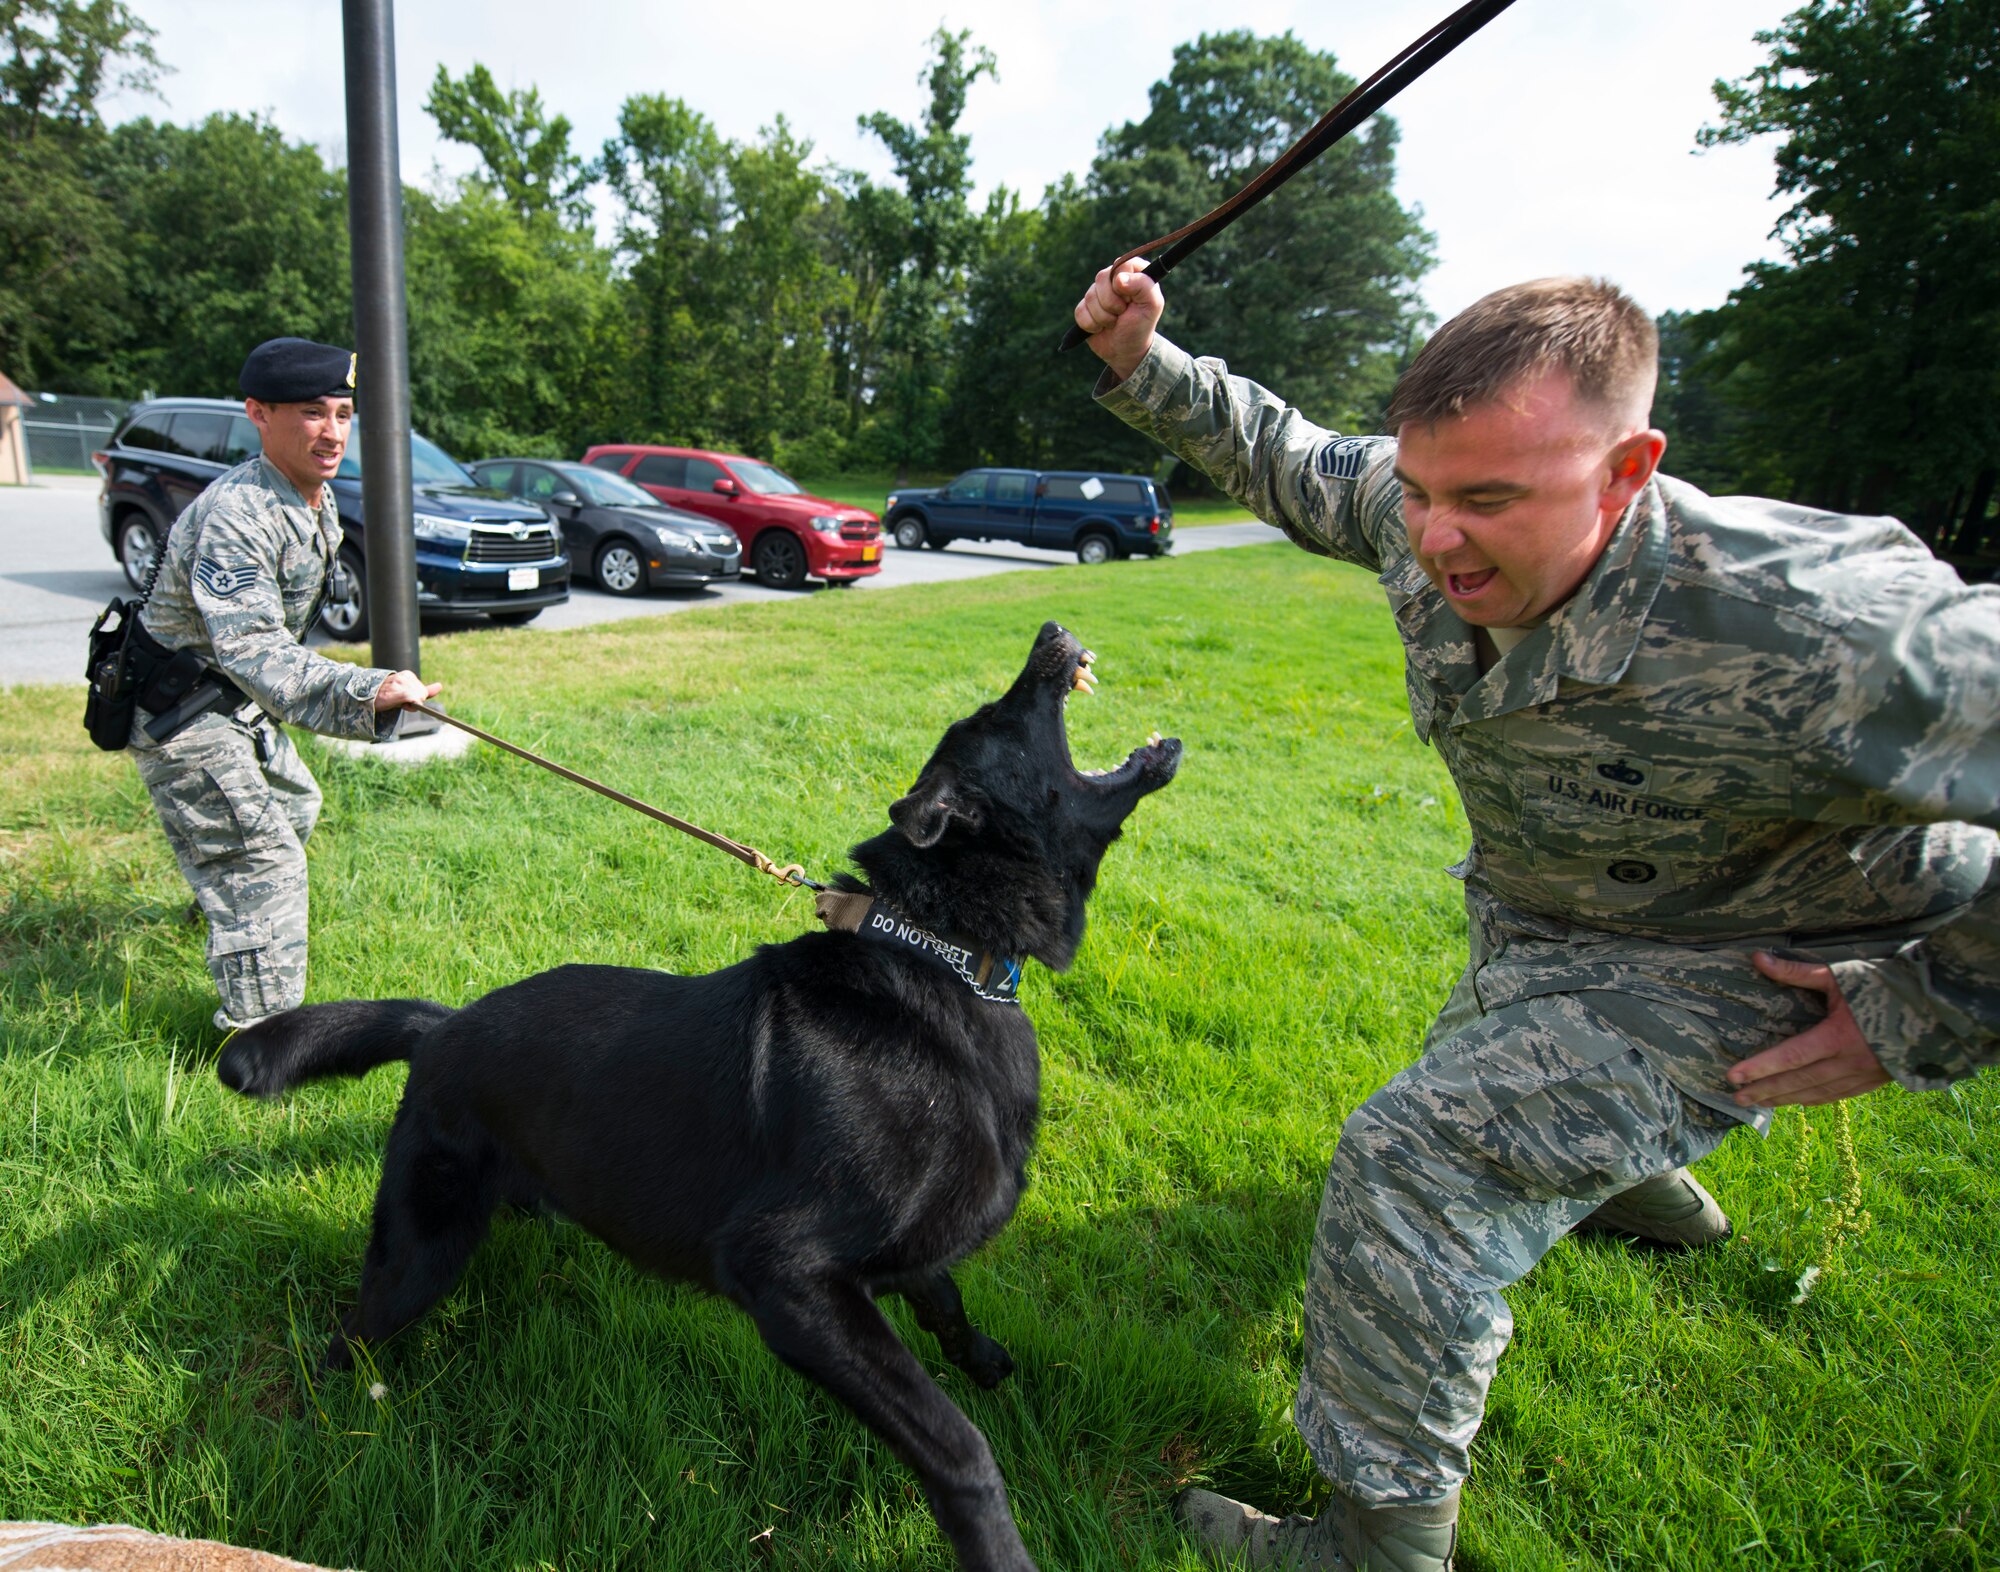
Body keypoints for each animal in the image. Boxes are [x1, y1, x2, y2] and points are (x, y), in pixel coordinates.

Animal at [219, 620, 1176, 1568]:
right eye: (999, 715)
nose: (1051, 630)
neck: (935, 953)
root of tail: (444, 1026)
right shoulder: (788, 1279)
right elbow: (958, 1447)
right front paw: (998, 1543)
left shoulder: (899, 1255)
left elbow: (944, 1298)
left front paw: (984, 1359)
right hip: (417, 1255)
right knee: (347, 1336)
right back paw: (328, 1419)